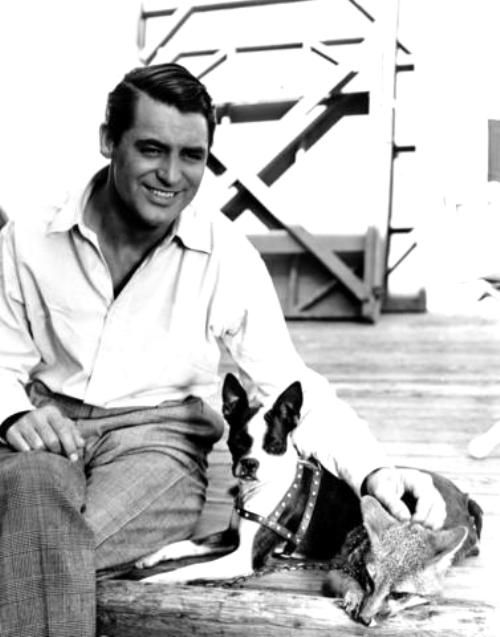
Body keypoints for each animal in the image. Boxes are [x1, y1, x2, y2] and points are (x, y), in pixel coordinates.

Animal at [137, 372, 480, 592]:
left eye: (275, 445)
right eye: (237, 442)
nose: (249, 464)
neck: (260, 489)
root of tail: (464, 498)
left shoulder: (243, 558)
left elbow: (192, 568)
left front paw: (156, 580)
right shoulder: (230, 536)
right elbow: (183, 545)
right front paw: (150, 558)